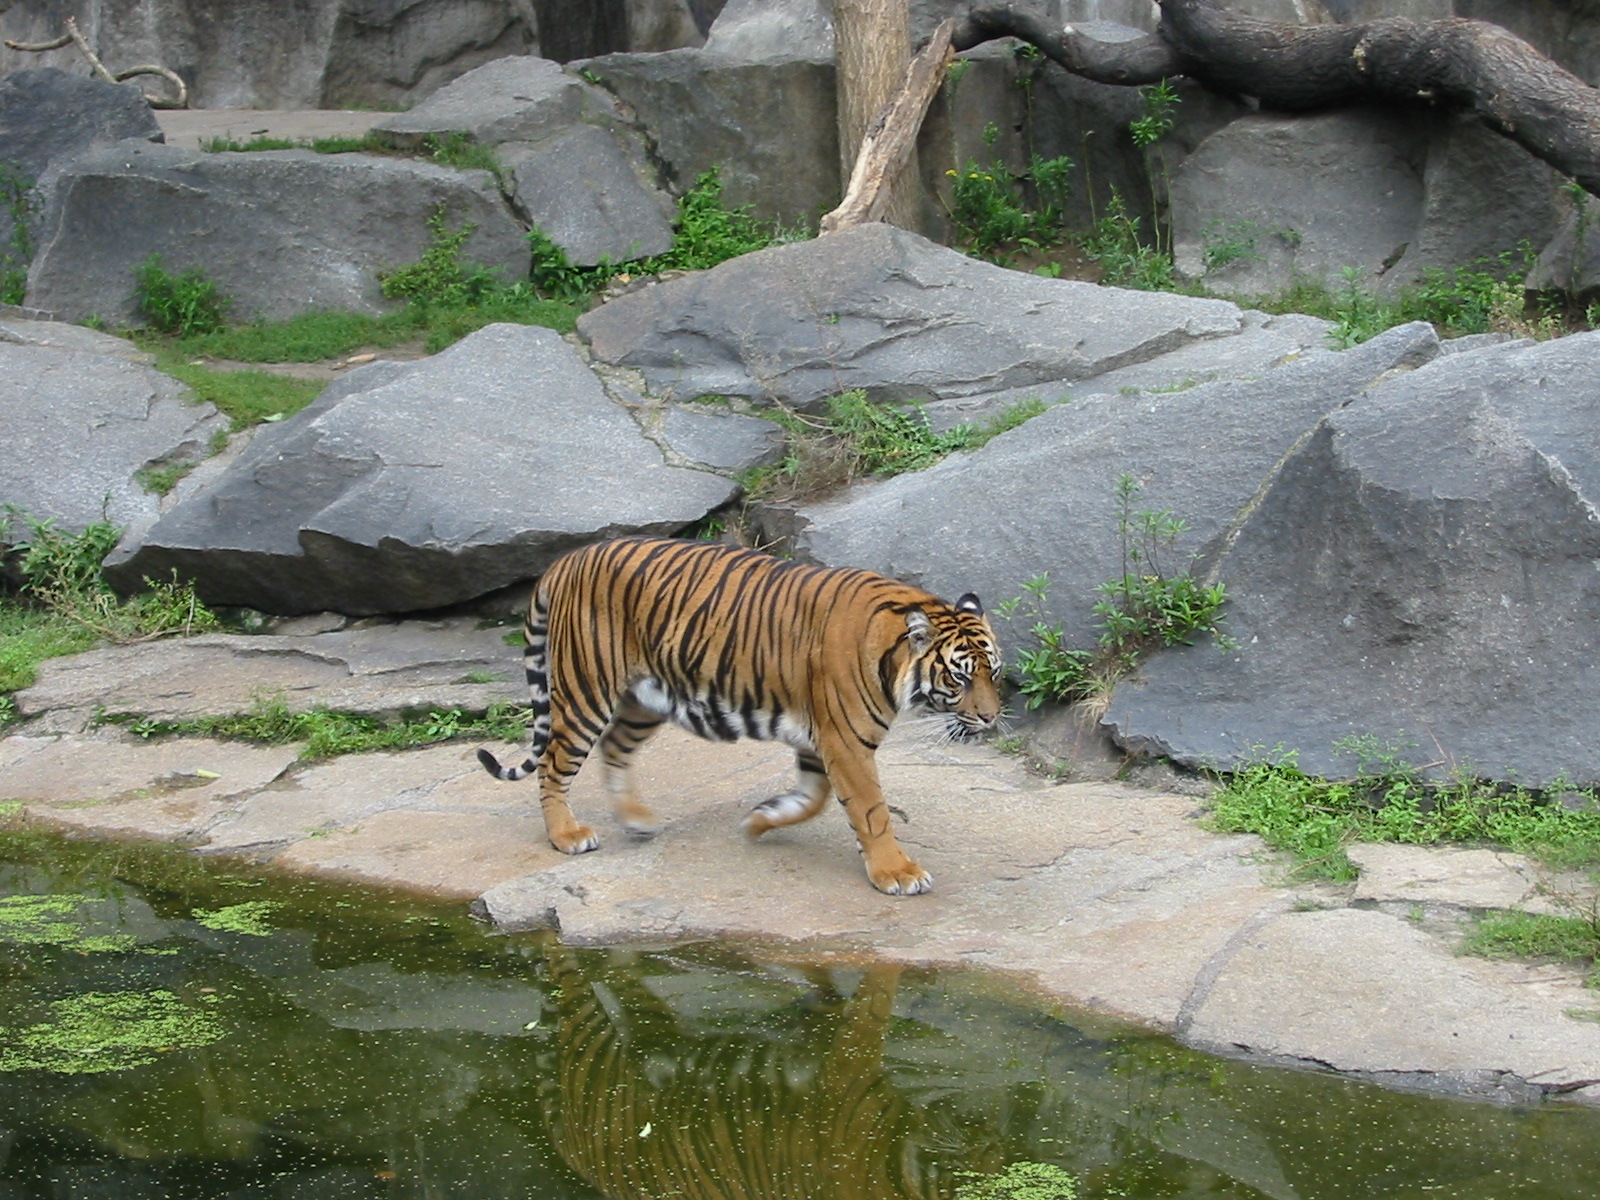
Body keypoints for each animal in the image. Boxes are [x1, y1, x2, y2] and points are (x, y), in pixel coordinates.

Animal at [477, 535, 1003, 895]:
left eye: (994, 672)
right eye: (959, 679)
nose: (991, 718)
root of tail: (568, 559)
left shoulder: (819, 739)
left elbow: (813, 798)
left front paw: (759, 820)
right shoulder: (845, 742)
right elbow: (871, 811)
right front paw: (897, 872)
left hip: (647, 697)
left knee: (614, 746)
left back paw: (637, 819)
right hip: (587, 689)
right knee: (553, 763)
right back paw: (567, 835)